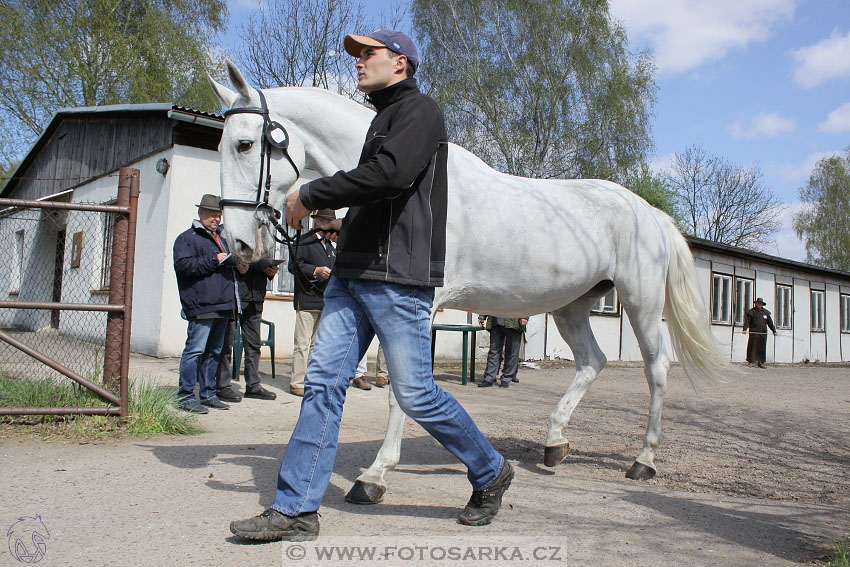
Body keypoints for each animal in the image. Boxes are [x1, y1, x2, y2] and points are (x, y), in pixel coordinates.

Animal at [207, 61, 728, 506]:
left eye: (244, 144)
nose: (238, 243)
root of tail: (650, 212)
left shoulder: (418, 309)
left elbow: (402, 391)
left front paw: (374, 476)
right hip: (572, 306)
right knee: (592, 362)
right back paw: (554, 444)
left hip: (641, 303)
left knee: (656, 368)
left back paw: (643, 460)